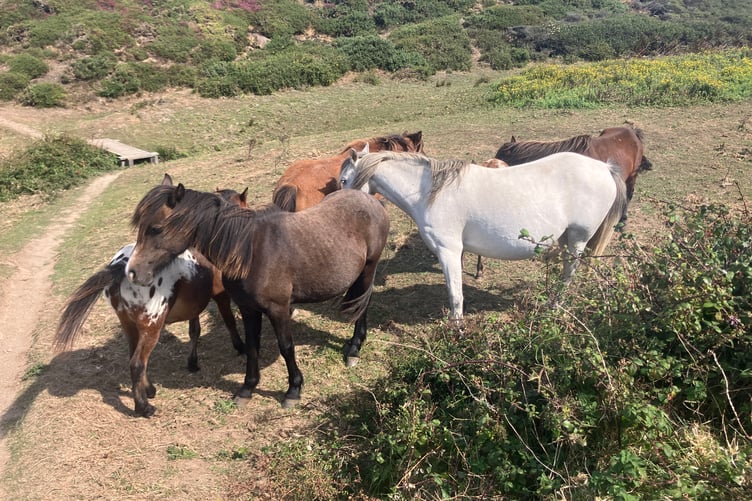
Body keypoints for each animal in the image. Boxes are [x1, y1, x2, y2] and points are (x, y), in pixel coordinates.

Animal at [54, 179, 248, 417]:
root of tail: (121, 268)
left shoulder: (193, 307)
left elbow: (195, 331)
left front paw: (193, 363)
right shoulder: (221, 297)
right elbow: (229, 322)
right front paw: (240, 347)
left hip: (129, 325)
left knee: (133, 357)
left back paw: (149, 389)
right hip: (151, 327)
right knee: (137, 363)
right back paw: (143, 406)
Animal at [125, 182, 390, 408]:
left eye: (156, 228)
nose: (133, 272)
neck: (249, 252)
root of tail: (371, 200)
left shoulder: (278, 309)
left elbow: (286, 347)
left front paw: (293, 390)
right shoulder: (248, 309)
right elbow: (252, 346)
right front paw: (247, 388)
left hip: (368, 269)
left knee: (362, 305)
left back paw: (354, 348)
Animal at [339, 150, 627, 324]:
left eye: (343, 179)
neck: (429, 193)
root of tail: (604, 167)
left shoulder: (449, 251)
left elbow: (455, 295)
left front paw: (456, 331)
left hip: (578, 239)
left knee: (568, 275)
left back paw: (553, 309)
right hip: (567, 239)